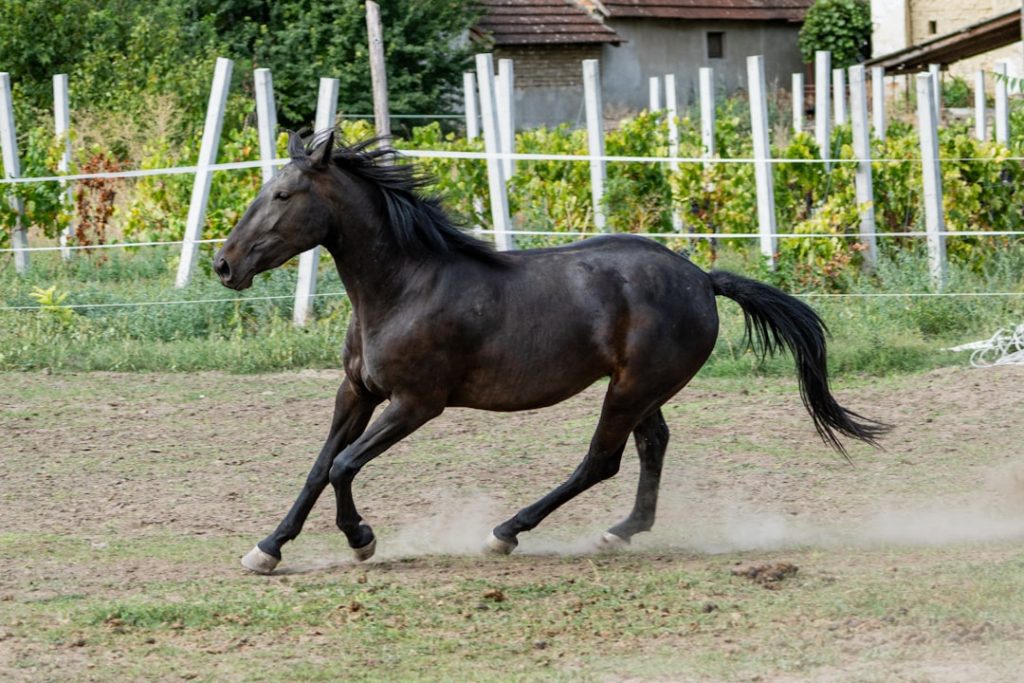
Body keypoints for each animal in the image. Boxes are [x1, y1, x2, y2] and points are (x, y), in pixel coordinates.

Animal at [214, 132, 888, 574]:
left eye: (282, 196)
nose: (223, 264)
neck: (405, 286)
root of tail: (702, 278)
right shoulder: (356, 391)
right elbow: (319, 465)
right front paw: (266, 549)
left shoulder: (416, 403)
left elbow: (344, 466)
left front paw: (361, 539)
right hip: (642, 389)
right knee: (651, 446)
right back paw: (620, 532)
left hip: (630, 388)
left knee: (601, 462)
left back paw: (507, 533)